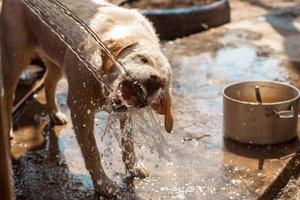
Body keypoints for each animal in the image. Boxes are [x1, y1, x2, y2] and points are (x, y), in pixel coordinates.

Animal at [0, 0, 173, 197]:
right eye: (143, 59)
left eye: (165, 82)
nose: (157, 80)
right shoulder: (80, 107)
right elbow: (92, 152)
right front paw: (104, 185)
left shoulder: (126, 113)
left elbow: (128, 142)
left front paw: (133, 167)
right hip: (16, 57)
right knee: (8, 96)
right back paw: (8, 129)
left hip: (54, 56)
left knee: (49, 82)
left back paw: (55, 114)